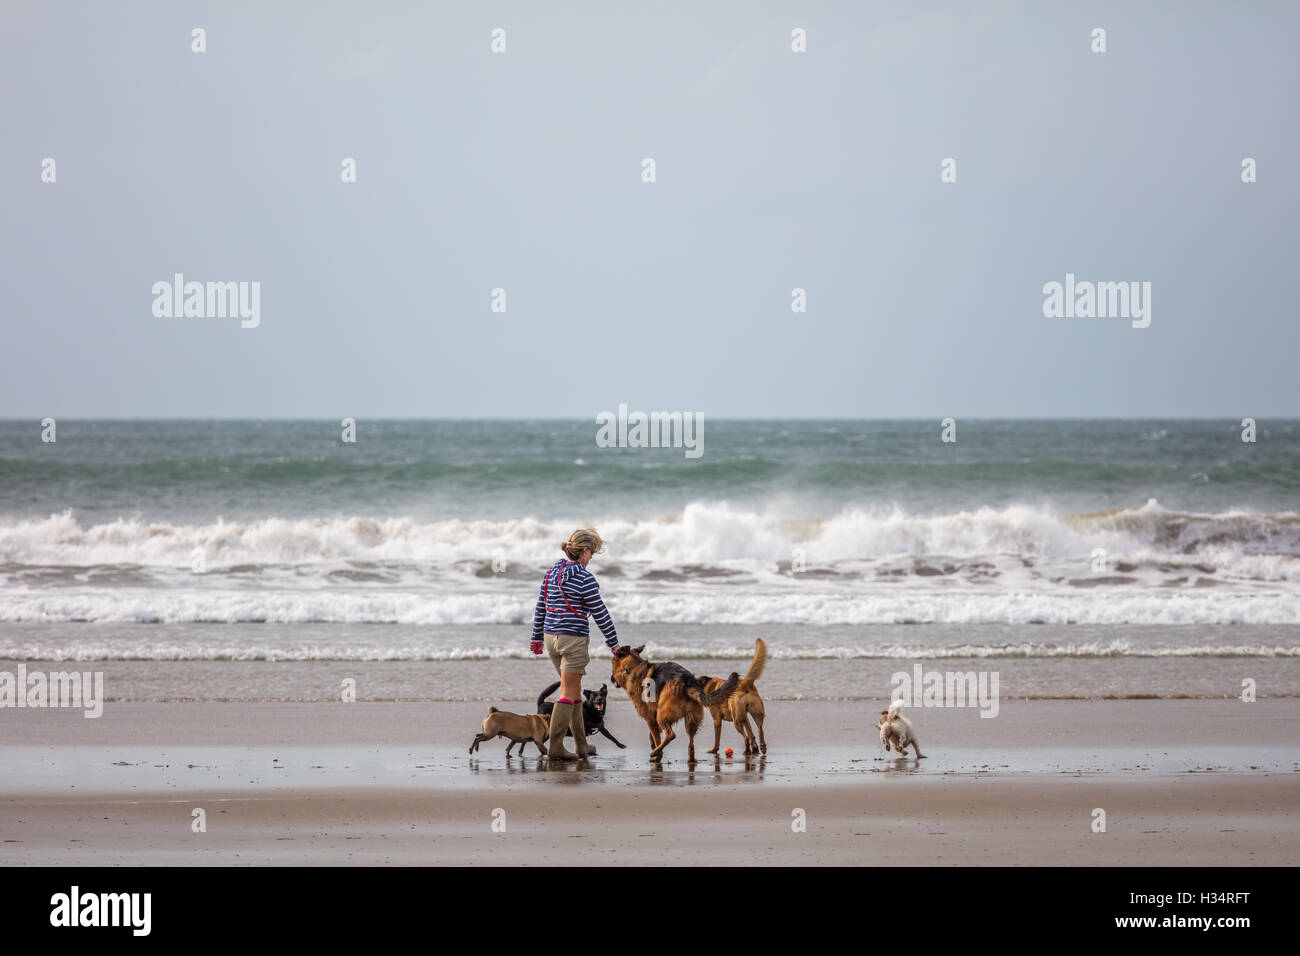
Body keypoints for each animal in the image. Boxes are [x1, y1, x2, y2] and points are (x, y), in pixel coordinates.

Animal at [611, 650, 743, 764]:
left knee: (671, 734)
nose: (611, 679)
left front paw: (657, 755)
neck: (634, 668)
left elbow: (656, 737)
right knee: (691, 745)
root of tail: (688, 681)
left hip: (662, 716)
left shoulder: (650, 718)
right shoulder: (653, 718)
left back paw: (655, 753)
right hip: (691, 720)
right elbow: (653, 736)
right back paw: (690, 760)